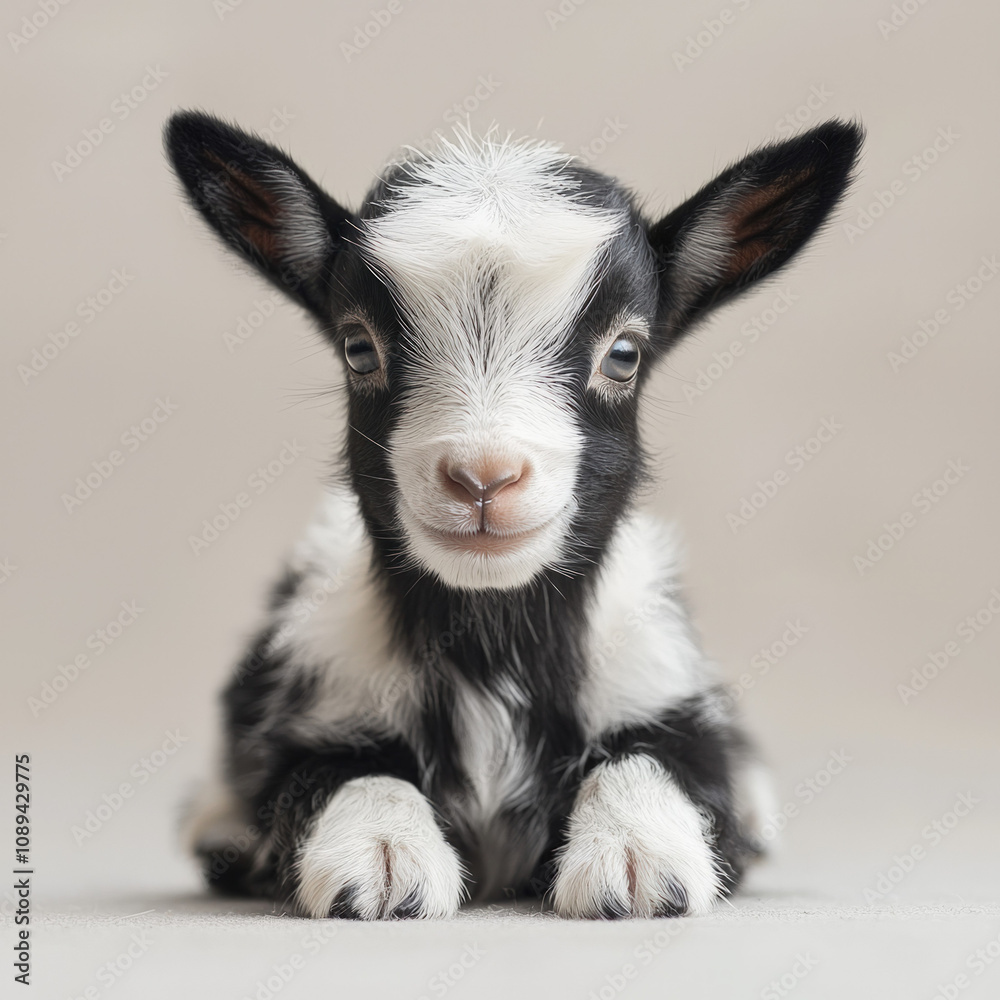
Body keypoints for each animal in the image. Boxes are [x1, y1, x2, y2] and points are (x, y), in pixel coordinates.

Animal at [165, 112, 862, 919]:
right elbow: (337, 772)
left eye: (624, 353)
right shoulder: (310, 708)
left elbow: (663, 760)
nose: (483, 477)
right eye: (358, 348)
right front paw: (382, 858)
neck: (493, 649)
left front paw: (636, 860)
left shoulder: (671, 693)